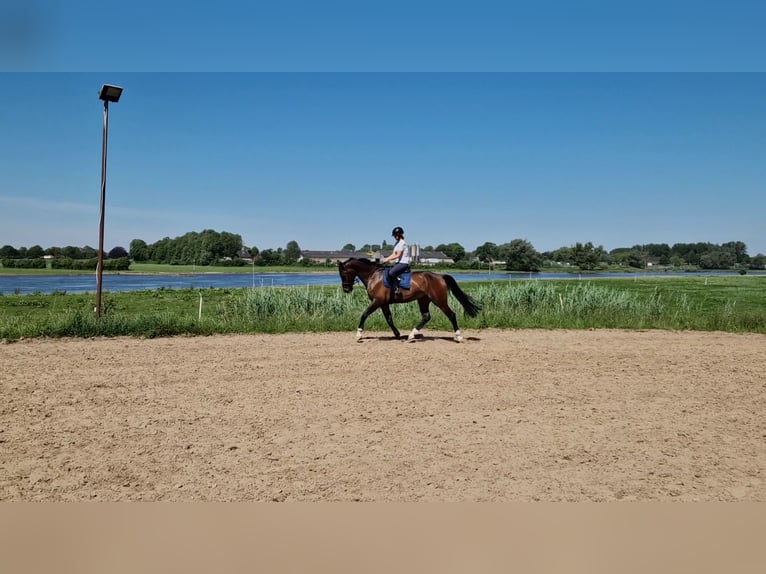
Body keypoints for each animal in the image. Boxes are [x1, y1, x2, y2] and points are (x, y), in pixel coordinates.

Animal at [340, 258, 484, 344]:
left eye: (343, 274)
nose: (346, 289)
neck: (373, 276)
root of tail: (440, 276)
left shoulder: (378, 301)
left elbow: (364, 314)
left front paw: (359, 334)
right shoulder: (384, 304)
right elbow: (389, 319)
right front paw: (397, 334)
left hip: (439, 301)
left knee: (451, 315)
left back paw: (458, 336)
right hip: (423, 300)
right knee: (426, 316)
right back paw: (411, 335)